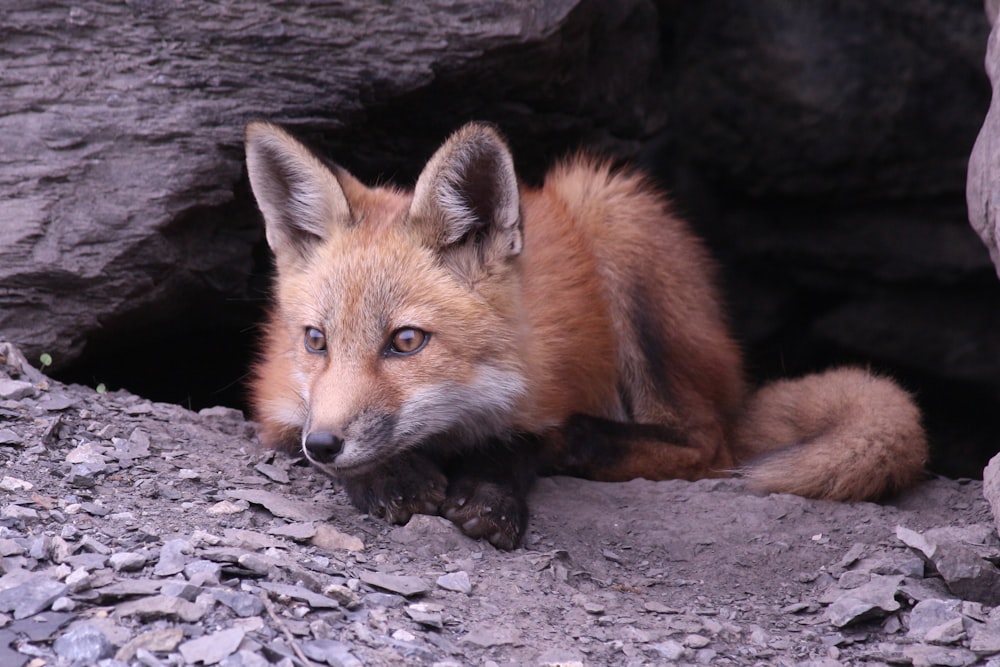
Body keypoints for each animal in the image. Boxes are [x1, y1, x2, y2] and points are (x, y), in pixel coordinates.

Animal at [244, 121, 928, 552]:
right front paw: (390, 477)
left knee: (710, 446)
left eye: (406, 341)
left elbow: (519, 442)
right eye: (315, 340)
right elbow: (296, 434)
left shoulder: (542, 389)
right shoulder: (275, 395)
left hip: (613, 216)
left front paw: (490, 492)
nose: (325, 444)